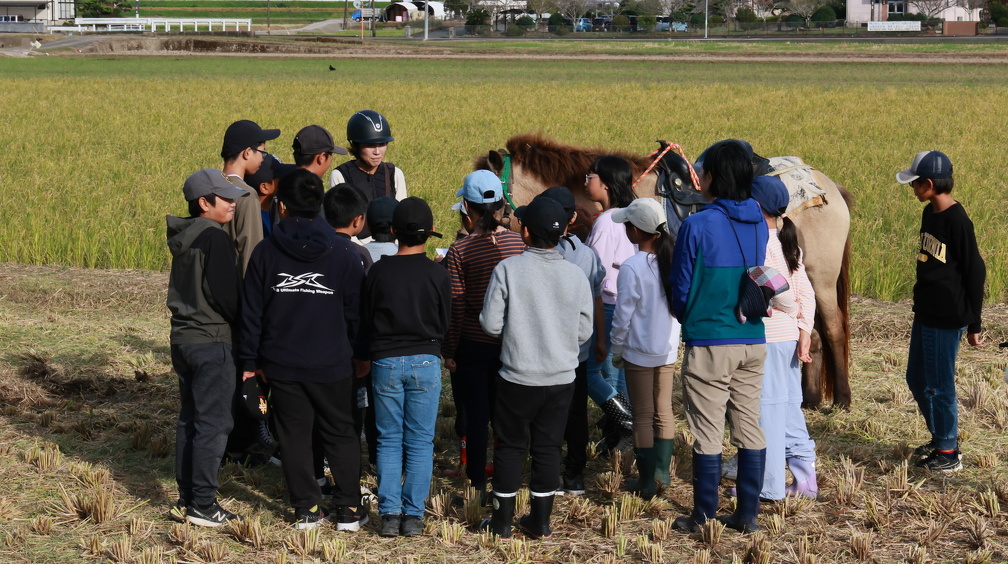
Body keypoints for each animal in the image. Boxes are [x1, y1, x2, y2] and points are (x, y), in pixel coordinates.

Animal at [474, 133, 853, 409]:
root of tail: (829, 185)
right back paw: (809, 399)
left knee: (833, 329)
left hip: (821, 275)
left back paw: (842, 399)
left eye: (490, 199)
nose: (470, 235)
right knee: (810, 333)